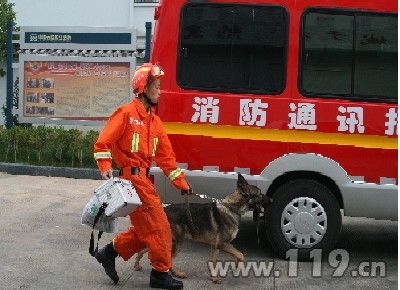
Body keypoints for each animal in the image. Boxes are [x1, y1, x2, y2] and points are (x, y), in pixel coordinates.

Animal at [134, 173, 268, 282]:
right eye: (259, 193)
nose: (270, 199)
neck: (231, 207)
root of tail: (163, 210)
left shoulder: (215, 246)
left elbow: (214, 261)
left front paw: (214, 277)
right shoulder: (222, 244)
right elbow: (240, 255)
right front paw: (237, 268)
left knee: (143, 250)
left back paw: (137, 264)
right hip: (176, 242)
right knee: (169, 260)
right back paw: (178, 274)